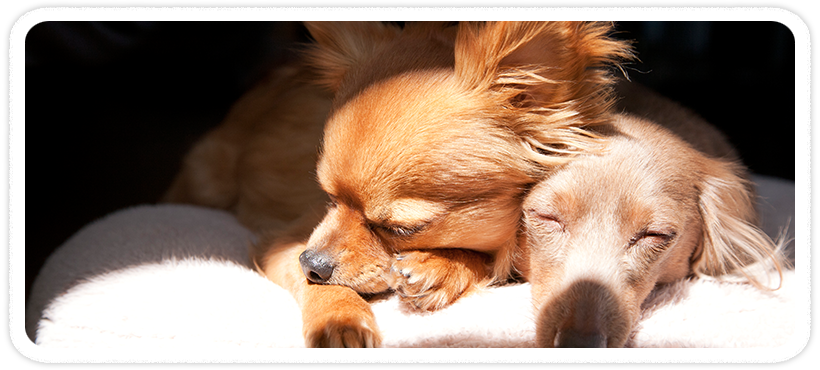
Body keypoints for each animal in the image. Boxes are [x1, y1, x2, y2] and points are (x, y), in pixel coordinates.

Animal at [163, 21, 632, 346]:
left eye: (401, 229)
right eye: (327, 198)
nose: (313, 262)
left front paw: (441, 268)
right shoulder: (284, 242)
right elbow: (320, 289)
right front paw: (340, 321)